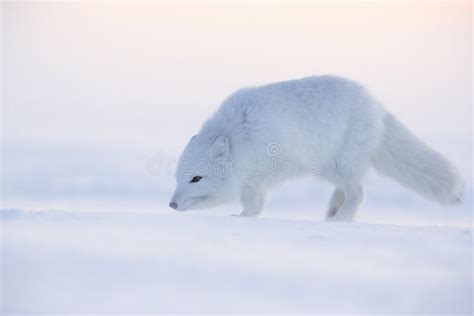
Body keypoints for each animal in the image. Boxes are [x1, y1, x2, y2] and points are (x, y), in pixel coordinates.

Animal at [169, 75, 462, 221]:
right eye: (178, 177)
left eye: (196, 179)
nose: (171, 204)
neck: (238, 135)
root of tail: (377, 106)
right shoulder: (255, 180)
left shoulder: (256, 178)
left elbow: (253, 205)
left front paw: (240, 217)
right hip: (332, 169)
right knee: (350, 189)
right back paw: (334, 210)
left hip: (340, 164)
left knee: (359, 193)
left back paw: (339, 219)